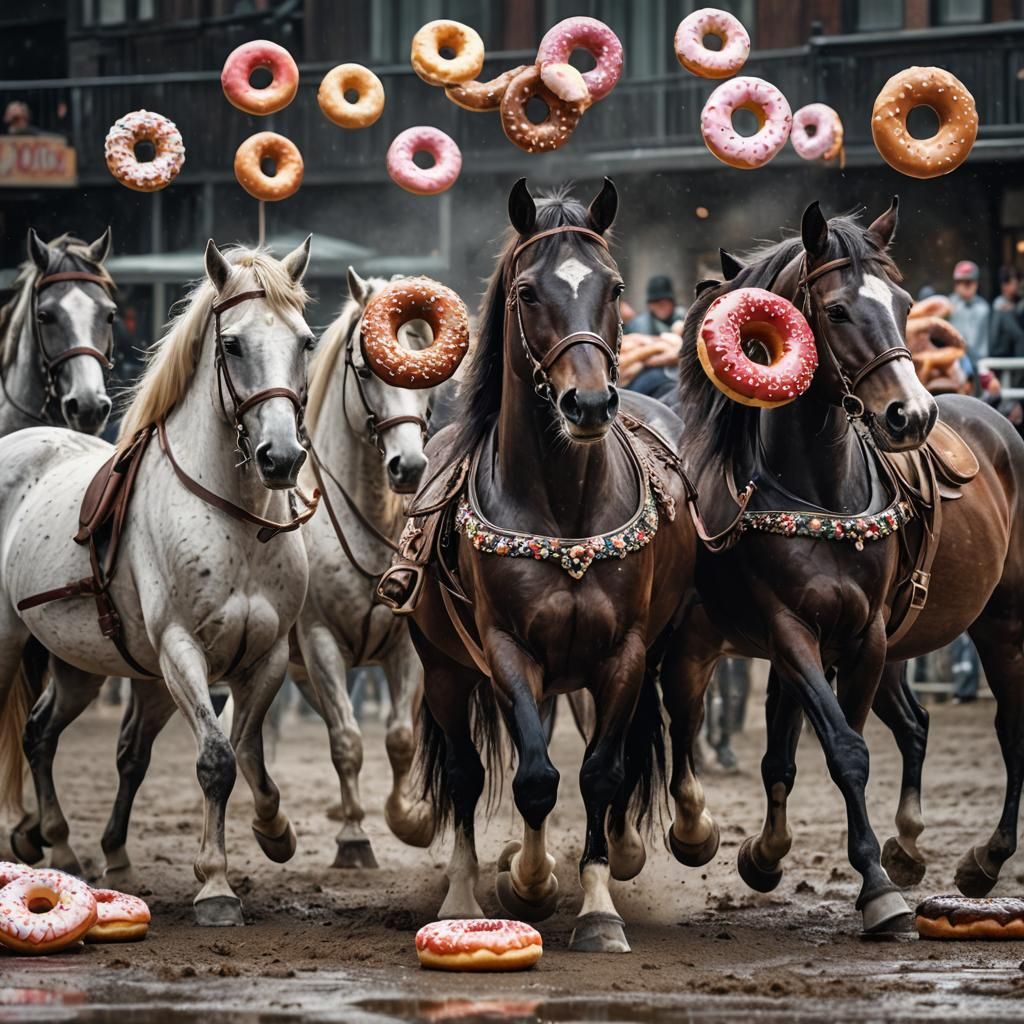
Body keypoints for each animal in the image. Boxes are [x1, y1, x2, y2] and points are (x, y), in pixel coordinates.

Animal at [398, 179, 697, 954]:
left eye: (614, 287)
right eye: (527, 292)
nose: (588, 402)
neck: (565, 508)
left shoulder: (625, 653)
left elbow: (600, 773)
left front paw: (598, 909)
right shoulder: (506, 648)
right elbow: (534, 775)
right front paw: (530, 882)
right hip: (445, 669)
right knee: (468, 775)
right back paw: (465, 890)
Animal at [667, 199, 941, 935]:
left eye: (905, 304)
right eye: (839, 310)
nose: (912, 415)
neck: (820, 496)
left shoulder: (865, 635)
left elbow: (845, 746)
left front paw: (869, 875)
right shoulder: (788, 629)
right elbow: (843, 748)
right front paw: (879, 890)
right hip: (694, 647)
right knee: (678, 725)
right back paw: (691, 831)